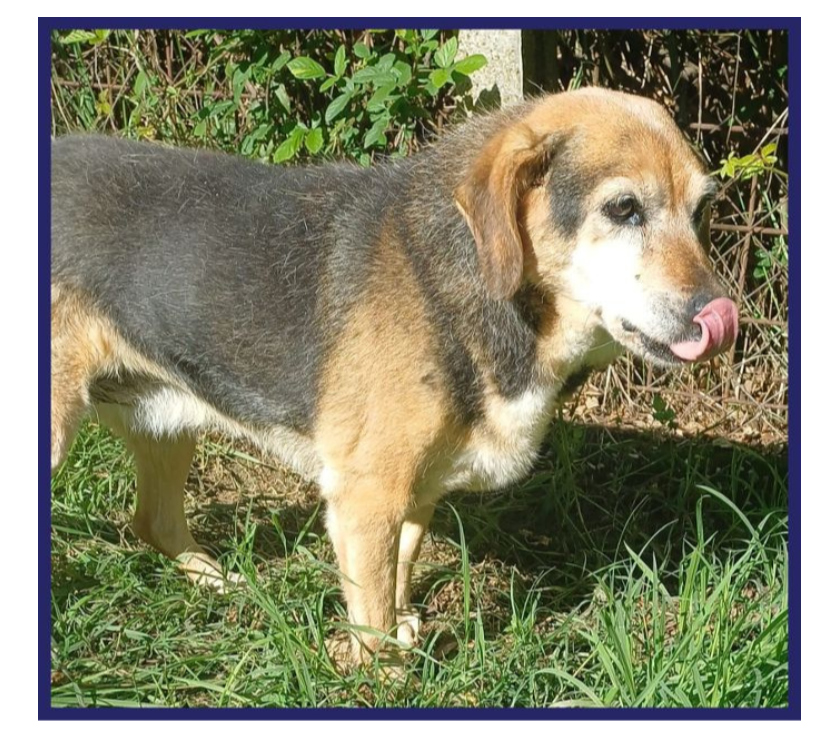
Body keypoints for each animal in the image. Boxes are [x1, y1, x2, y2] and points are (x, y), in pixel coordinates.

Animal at [50, 89, 736, 668]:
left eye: (702, 210)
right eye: (623, 208)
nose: (719, 315)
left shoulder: (416, 490)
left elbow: (399, 570)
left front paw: (405, 629)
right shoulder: (366, 496)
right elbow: (373, 611)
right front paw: (383, 676)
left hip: (164, 426)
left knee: (153, 522)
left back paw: (218, 581)